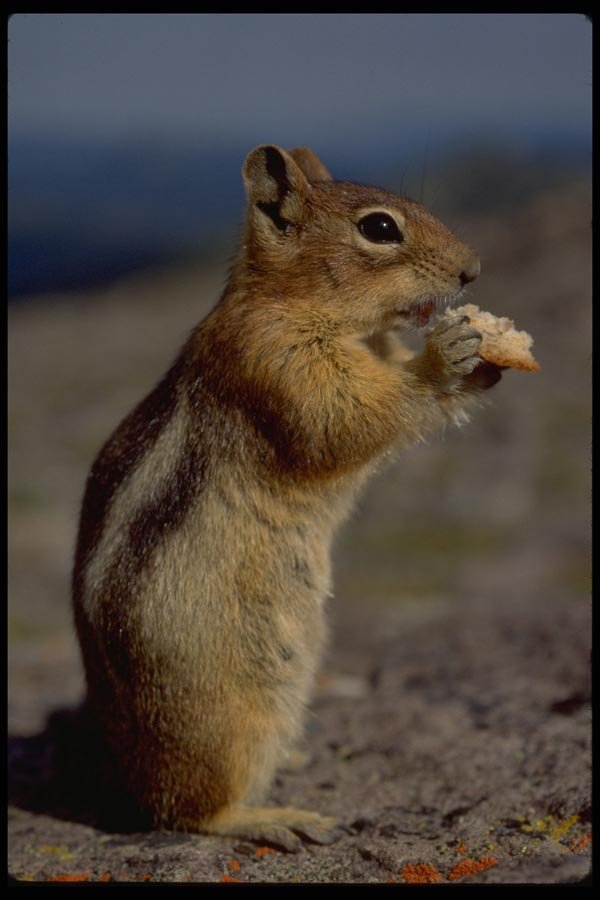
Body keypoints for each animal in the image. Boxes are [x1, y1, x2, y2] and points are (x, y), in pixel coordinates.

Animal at [72, 144, 501, 851]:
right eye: (380, 228)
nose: (471, 270)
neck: (292, 300)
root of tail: (125, 778)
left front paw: (486, 360)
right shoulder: (276, 363)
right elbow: (347, 419)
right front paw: (447, 356)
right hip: (222, 720)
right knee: (185, 812)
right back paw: (275, 817)